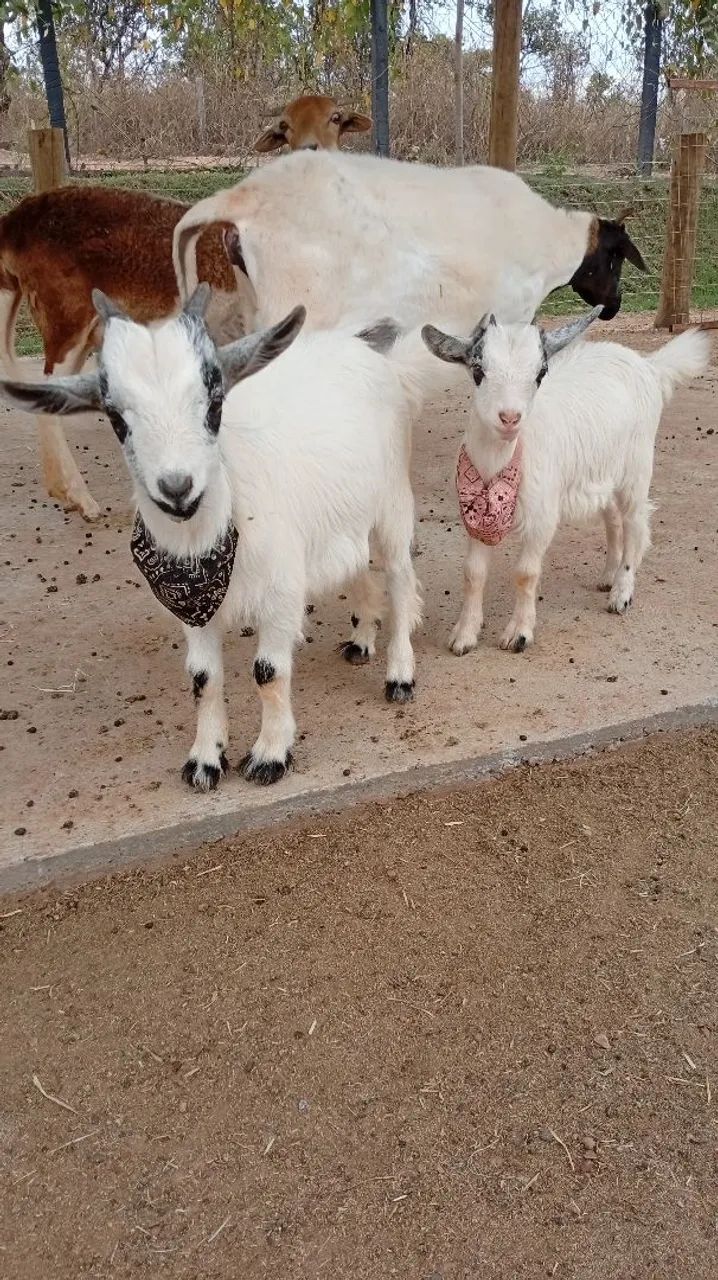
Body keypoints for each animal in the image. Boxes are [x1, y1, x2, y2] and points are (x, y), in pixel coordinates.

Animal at [0, 286, 424, 792]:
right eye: (116, 418)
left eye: (214, 403)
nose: (177, 488)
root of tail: (364, 348)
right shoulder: (191, 611)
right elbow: (203, 678)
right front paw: (205, 760)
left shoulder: (281, 594)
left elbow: (268, 672)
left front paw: (269, 755)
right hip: (343, 516)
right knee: (358, 566)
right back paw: (360, 641)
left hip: (393, 501)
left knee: (399, 580)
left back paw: (399, 676)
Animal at [173, 150, 647, 352]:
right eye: (615, 258)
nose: (615, 305)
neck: (551, 243)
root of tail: (242, 197)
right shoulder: (511, 314)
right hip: (295, 312)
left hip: (254, 307)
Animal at [421, 310, 711, 654]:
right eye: (478, 370)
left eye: (540, 373)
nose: (509, 418)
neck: (499, 462)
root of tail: (647, 364)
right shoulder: (475, 519)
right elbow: (473, 574)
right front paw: (464, 635)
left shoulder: (542, 518)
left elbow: (525, 574)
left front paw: (519, 633)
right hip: (600, 473)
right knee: (613, 521)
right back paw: (608, 576)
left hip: (637, 468)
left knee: (635, 524)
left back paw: (621, 592)